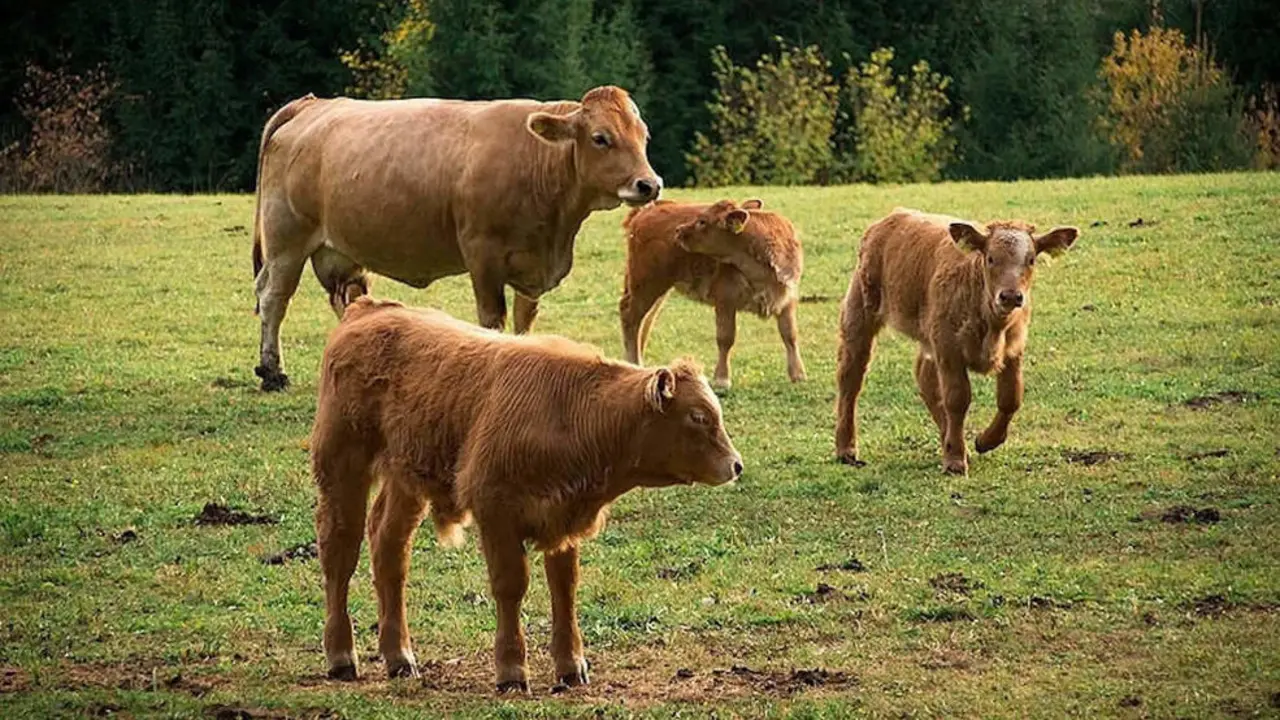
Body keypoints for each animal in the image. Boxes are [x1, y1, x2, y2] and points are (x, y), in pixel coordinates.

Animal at [251, 85, 661, 391]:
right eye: (601, 138)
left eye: (643, 136)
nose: (649, 184)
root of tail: (313, 104)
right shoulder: (483, 256)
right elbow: (492, 320)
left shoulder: (532, 266)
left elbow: (525, 320)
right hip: (286, 238)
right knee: (274, 297)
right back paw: (272, 372)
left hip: (338, 252)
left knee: (346, 299)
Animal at [311, 296, 742, 693]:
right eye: (698, 417)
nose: (736, 465)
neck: (573, 410)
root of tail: (369, 309)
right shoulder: (496, 512)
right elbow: (510, 586)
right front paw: (511, 669)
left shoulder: (564, 515)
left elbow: (564, 589)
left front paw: (570, 666)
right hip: (342, 467)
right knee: (339, 553)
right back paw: (341, 655)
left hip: (406, 479)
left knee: (389, 551)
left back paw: (399, 656)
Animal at [618, 199, 806, 389]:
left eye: (702, 221)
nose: (679, 230)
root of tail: (647, 209)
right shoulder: (725, 299)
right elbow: (726, 338)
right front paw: (721, 379)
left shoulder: (788, 299)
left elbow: (790, 334)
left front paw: (798, 374)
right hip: (645, 283)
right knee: (631, 316)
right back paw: (634, 362)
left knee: (646, 319)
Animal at [834, 208, 1079, 474]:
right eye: (990, 258)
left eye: (1031, 259)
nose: (1011, 296)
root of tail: (891, 218)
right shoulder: (949, 349)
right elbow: (957, 399)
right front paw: (955, 460)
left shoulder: (1013, 349)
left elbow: (1010, 398)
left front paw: (984, 441)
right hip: (859, 313)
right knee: (851, 378)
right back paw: (846, 449)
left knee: (925, 378)